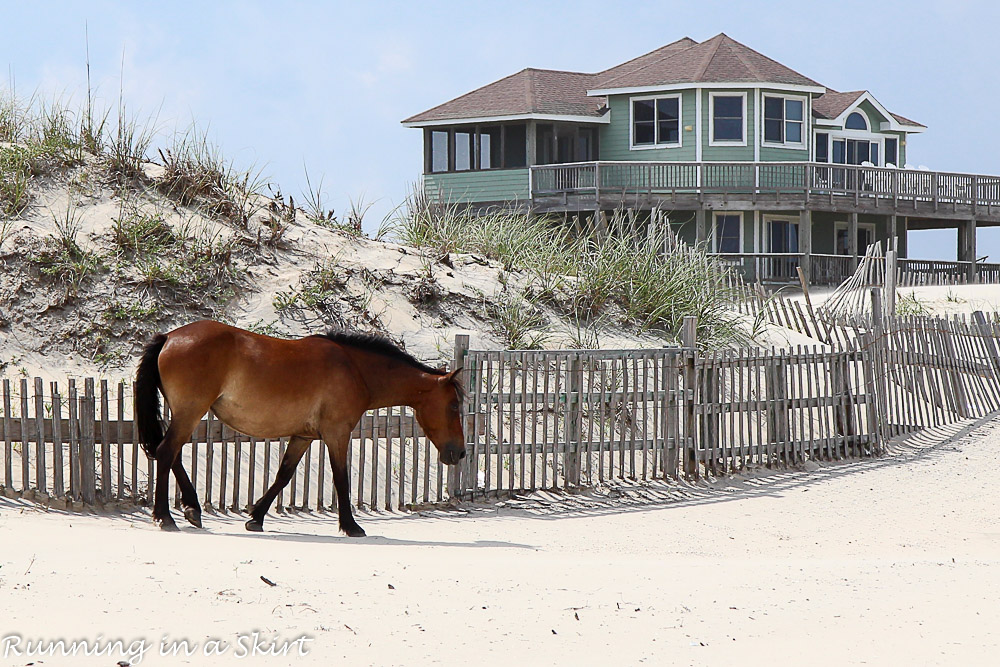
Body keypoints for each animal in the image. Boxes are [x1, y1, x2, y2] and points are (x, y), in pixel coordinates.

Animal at [133, 320, 468, 536]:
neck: (355, 368)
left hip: (185, 414)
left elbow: (283, 475)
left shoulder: (304, 436)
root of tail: (170, 337)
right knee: (166, 452)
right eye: (454, 406)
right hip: (190, 411)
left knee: (172, 454)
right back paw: (164, 517)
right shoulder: (337, 433)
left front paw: (256, 518)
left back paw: (192, 509)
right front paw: (351, 526)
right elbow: (341, 478)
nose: (461, 453)